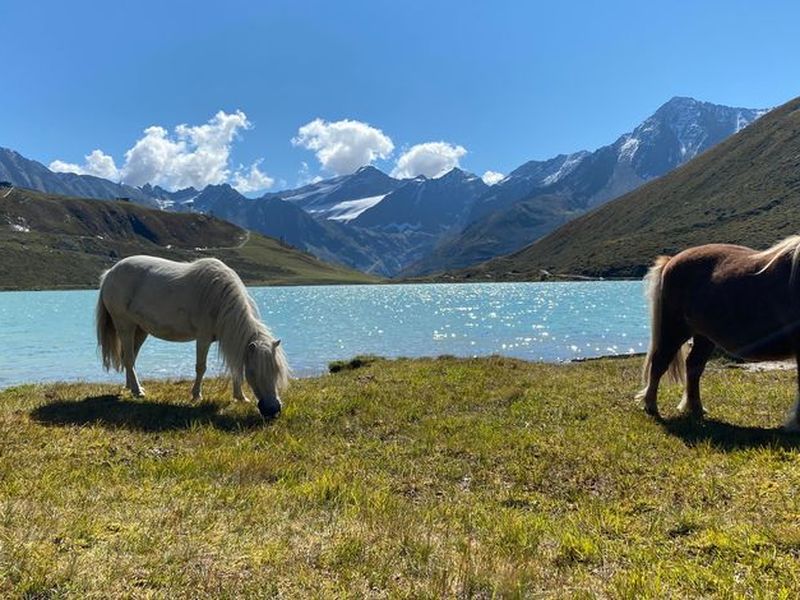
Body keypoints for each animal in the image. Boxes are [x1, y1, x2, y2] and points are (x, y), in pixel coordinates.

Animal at [96, 255, 290, 420]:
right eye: (254, 372)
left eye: (276, 370)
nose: (273, 410)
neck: (219, 299)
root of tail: (110, 273)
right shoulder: (203, 338)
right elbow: (201, 367)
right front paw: (196, 395)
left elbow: (235, 368)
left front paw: (240, 397)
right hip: (125, 326)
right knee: (129, 358)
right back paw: (137, 391)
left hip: (140, 330)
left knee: (130, 358)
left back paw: (130, 387)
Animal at [640, 236, 800, 432]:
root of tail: (671, 261)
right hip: (674, 330)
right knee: (659, 363)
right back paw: (651, 406)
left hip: (704, 337)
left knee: (693, 366)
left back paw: (696, 409)